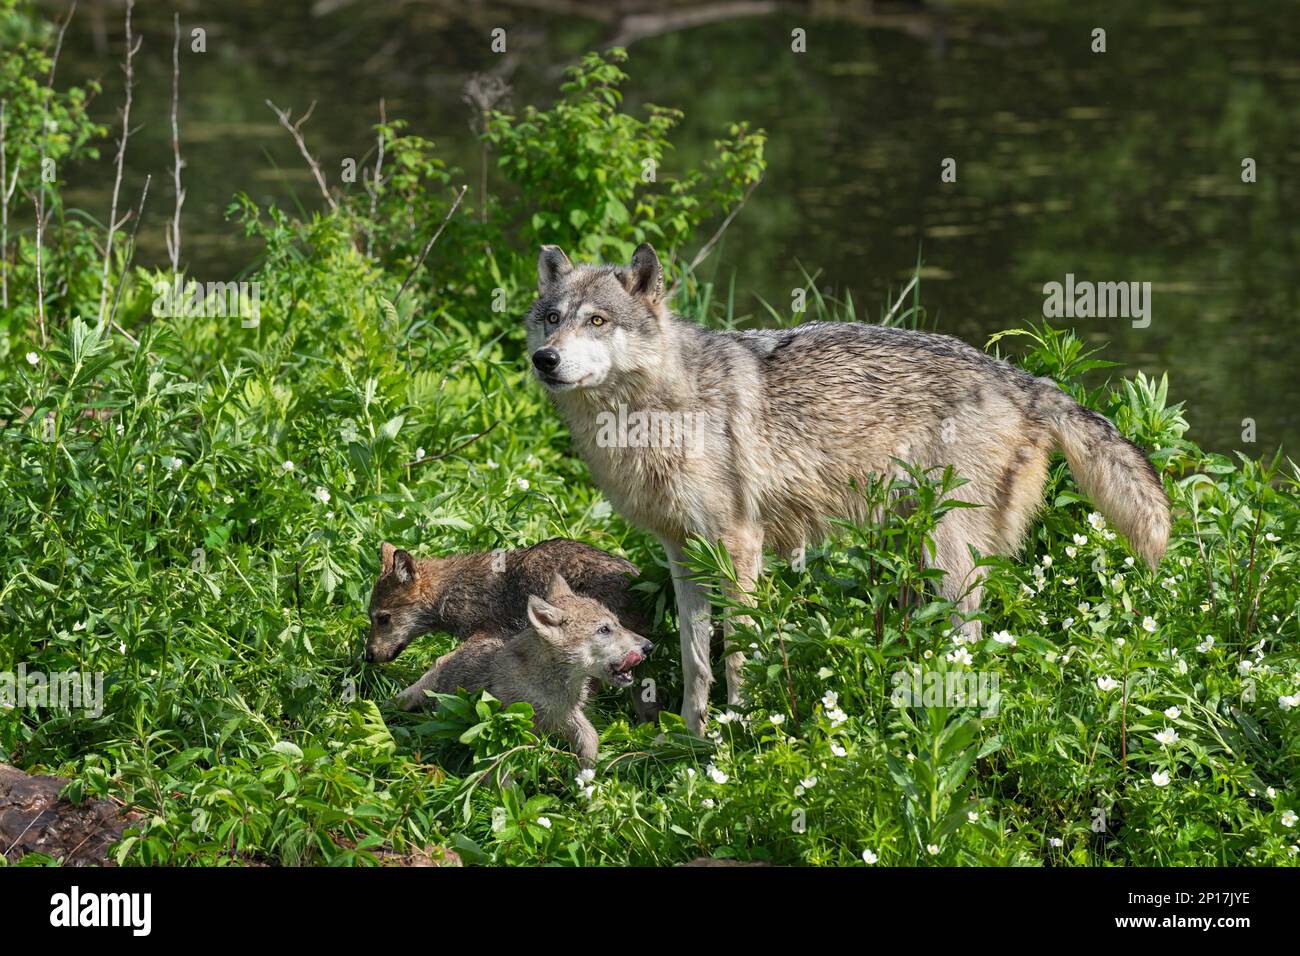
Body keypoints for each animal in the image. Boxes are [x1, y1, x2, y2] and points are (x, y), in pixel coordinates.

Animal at [365, 538, 660, 722]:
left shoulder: (488, 636)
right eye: (372, 618)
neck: (454, 593)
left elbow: (438, 665)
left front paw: (394, 704)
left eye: (383, 619)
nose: (367, 656)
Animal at [394, 574, 654, 766]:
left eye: (618, 624)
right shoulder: (510, 728)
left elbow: (591, 738)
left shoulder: (565, 715)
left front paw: (585, 778)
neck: (554, 684)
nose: (649, 646)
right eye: (604, 630)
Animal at [525, 242, 1171, 735]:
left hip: (946, 559)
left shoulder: (740, 546)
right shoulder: (683, 555)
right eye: (552, 317)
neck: (653, 414)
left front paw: (738, 737)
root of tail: (1025, 380)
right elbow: (694, 662)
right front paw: (692, 738)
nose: (544, 359)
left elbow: (739, 653)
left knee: (974, 640)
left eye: (597, 321)